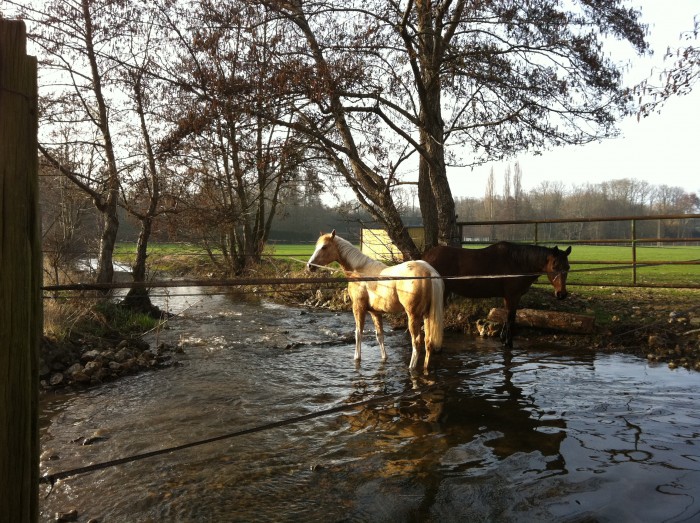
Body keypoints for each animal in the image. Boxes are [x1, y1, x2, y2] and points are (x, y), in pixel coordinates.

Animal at [306, 230, 442, 372]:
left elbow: (358, 334)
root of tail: (428, 271)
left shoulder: (358, 308)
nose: (310, 266)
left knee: (416, 342)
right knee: (428, 341)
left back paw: (411, 367)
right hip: (426, 315)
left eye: (324, 247)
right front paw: (384, 358)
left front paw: (357, 358)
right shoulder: (375, 312)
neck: (359, 272)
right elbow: (380, 336)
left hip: (413, 316)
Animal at [422, 244, 568, 350]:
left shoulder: (507, 297)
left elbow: (506, 317)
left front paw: (503, 339)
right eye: (554, 266)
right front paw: (508, 343)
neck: (517, 263)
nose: (561, 294)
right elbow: (510, 319)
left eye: (567, 267)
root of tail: (426, 257)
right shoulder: (512, 296)